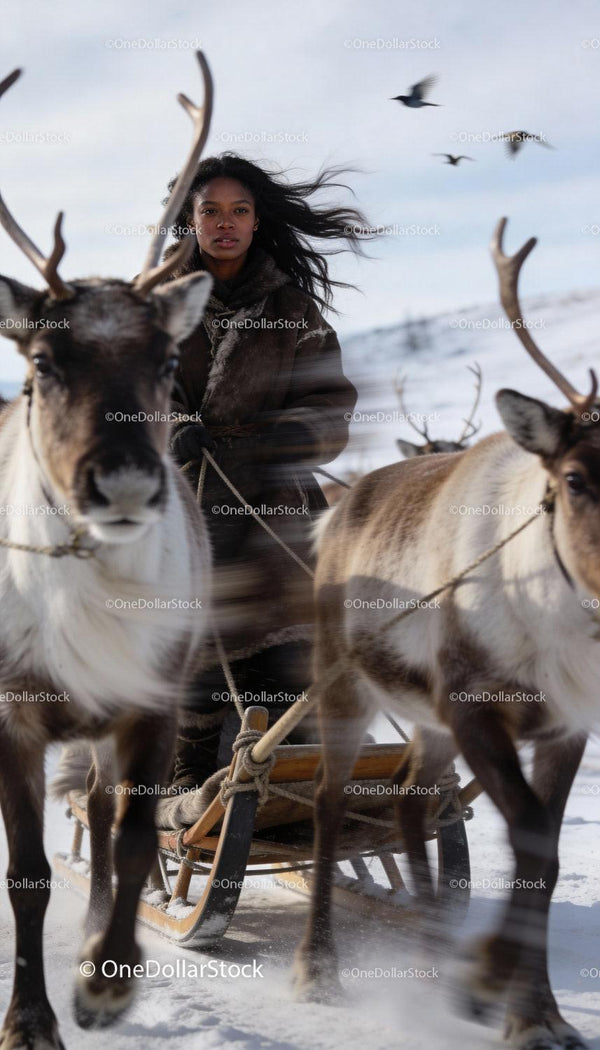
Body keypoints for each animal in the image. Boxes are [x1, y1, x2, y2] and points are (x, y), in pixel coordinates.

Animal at [294, 218, 598, 1050]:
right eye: (574, 477)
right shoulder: (473, 704)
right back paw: (318, 967)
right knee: (331, 799)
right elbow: (530, 836)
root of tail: (339, 504)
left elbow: (541, 847)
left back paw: (431, 956)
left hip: (422, 717)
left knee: (405, 800)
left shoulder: (567, 725)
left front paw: (537, 1013)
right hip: (343, 683)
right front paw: (489, 984)